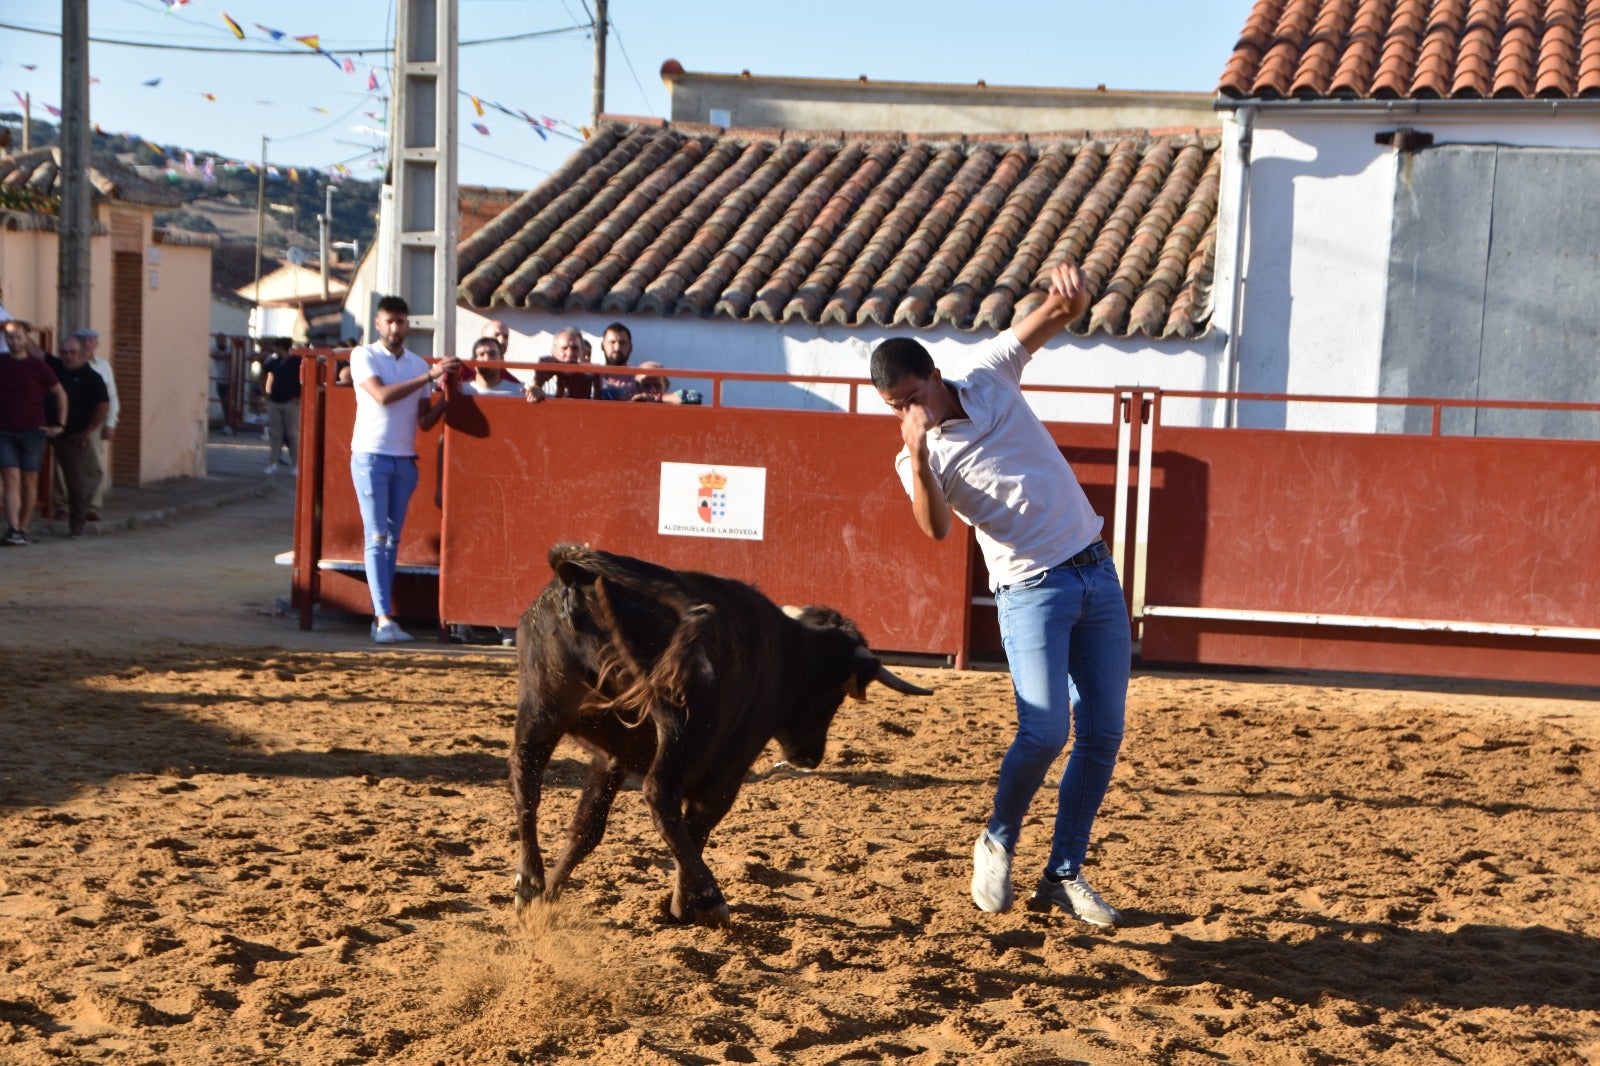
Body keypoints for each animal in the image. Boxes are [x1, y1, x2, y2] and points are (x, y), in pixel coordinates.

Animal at [512, 541, 934, 921]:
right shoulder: (727, 770)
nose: (811, 756)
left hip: (541, 708)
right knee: (660, 795)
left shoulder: (611, 756)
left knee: (525, 778)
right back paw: (712, 898)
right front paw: (684, 906)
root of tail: (579, 576)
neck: (785, 651)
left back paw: (529, 883)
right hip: (682, 720)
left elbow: (586, 828)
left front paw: (551, 893)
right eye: (835, 694)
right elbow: (698, 825)